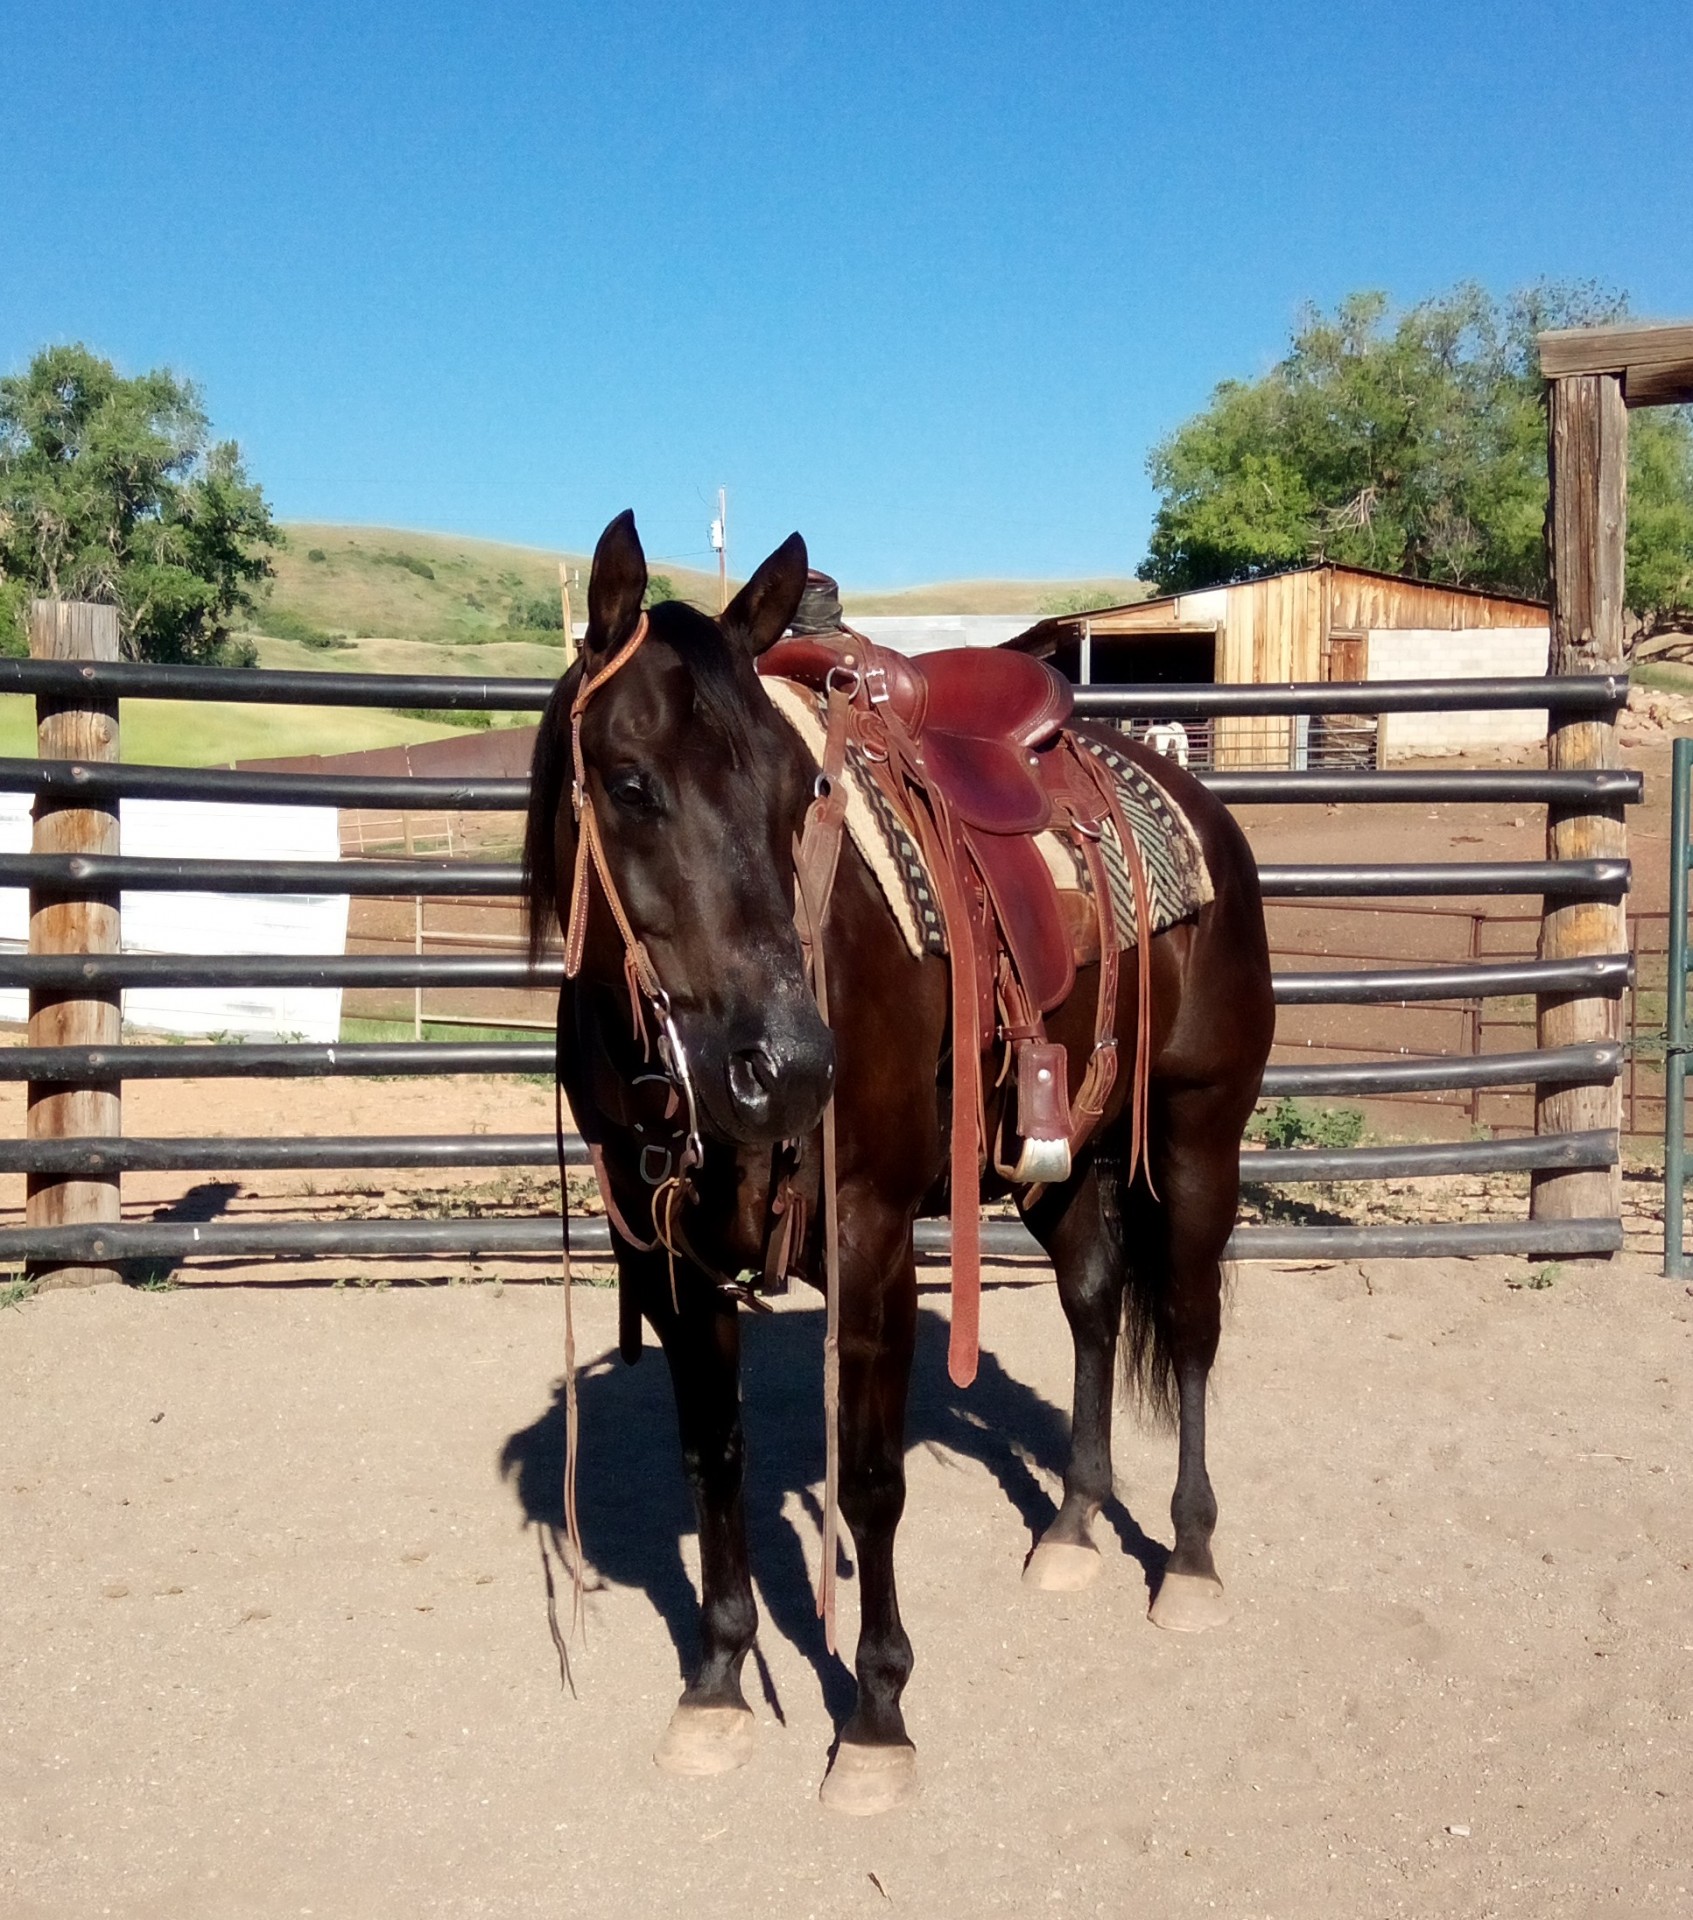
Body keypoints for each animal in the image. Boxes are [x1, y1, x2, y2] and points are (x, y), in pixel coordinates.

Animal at [522, 510, 1274, 1812]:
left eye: (799, 793)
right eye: (628, 783)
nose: (784, 1068)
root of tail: (1197, 805)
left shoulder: (873, 1241)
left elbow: (872, 1479)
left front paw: (874, 1717)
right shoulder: (671, 1261)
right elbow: (711, 1460)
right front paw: (716, 1685)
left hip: (1194, 1136)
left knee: (1184, 1327)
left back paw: (1185, 1560)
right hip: (1055, 1160)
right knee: (1092, 1301)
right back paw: (1073, 1526)